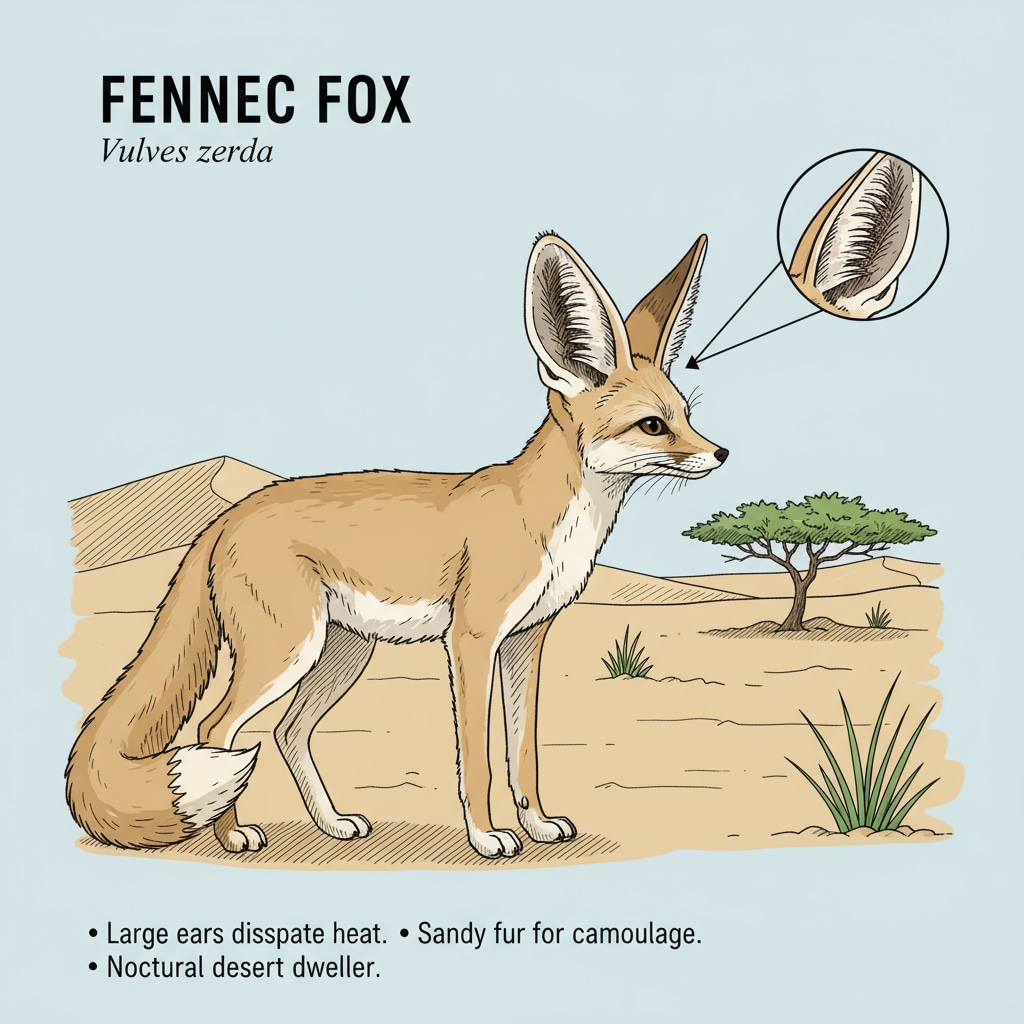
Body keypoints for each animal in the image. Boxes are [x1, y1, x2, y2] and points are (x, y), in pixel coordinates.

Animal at [65, 231, 728, 860]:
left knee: (285, 733)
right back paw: (233, 835)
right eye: (652, 425)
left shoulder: (527, 642)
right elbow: (479, 759)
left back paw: (332, 824)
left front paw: (538, 824)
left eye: (687, 414)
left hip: (342, 653)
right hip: (288, 652)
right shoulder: (472, 639)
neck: (554, 521)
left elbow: (524, 754)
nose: (721, 453)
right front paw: (488, 837)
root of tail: (229, 514)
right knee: (216, 730)